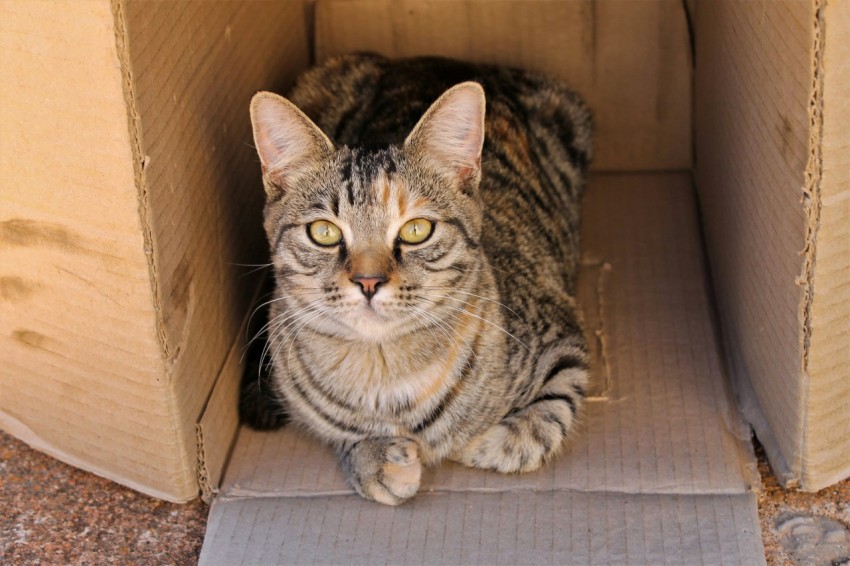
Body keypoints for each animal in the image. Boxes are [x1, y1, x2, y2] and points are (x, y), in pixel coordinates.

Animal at [243, 53, 588, 506]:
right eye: (324, 232)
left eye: (416, 229)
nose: (368, 281)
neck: (382, 370)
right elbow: (342, 431)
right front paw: (374, 458)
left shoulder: (564, 342)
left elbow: (533, 429)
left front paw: (469, 443)